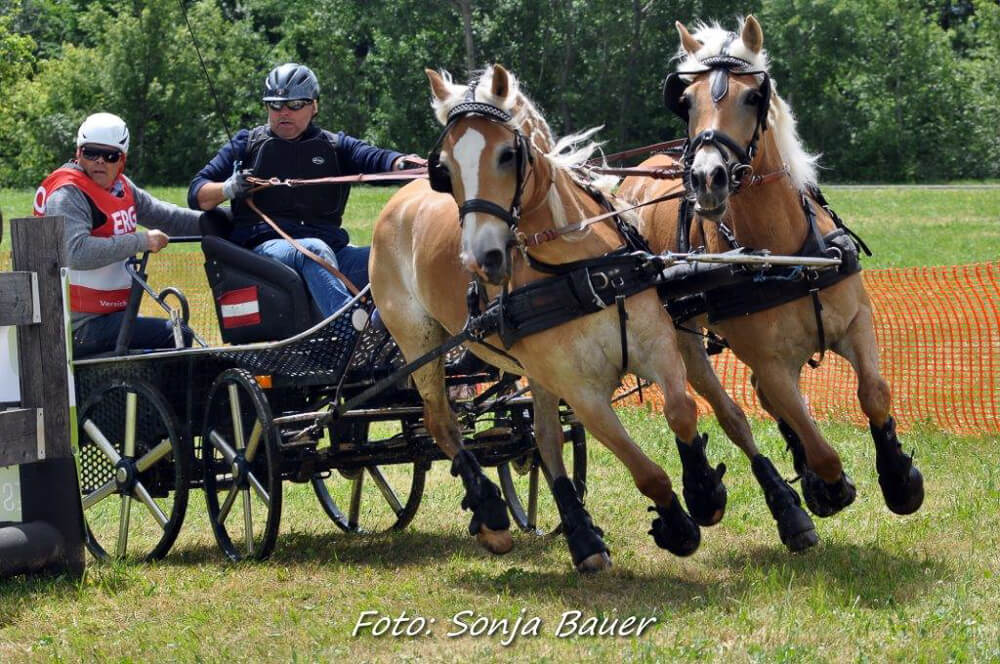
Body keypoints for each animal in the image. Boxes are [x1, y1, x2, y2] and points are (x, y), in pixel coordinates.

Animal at [370, 66, 728, 572]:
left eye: (506, 154)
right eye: (447, 170)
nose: (482, 258)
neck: (579, 269)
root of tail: (398, 200)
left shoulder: (658, 346)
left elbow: (681, 410)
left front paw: (703, 492)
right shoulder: (582, 392)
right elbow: (645, 471)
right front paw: (677, 526)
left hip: (535, 369)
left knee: (543, 437)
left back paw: (582, 536)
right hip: (418, 341)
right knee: (442, 424)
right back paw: (492, 514)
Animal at [620, 18, 924, 552]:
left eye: (751, 96)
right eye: (687, 100)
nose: (708, 178)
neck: (785, 254)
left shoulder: (856, 322)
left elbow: (874, 393)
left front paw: (899, 480)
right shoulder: (768, 359)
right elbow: (819, 445)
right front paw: (828, 487)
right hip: (680, 339)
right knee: (730, 417)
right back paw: (760, 502)